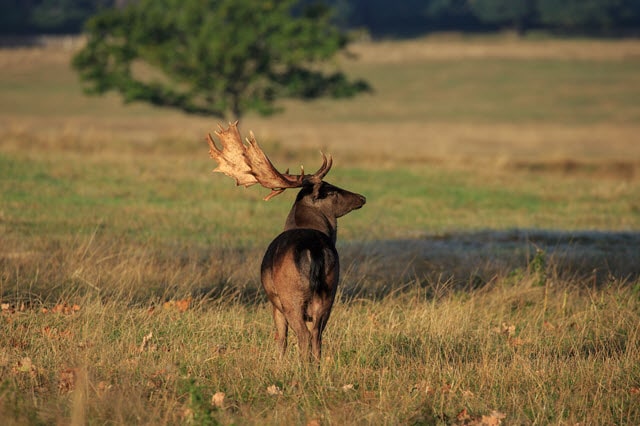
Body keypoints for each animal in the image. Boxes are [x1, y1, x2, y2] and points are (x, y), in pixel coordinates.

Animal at [205, 121, 364, 362]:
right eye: (332, 190)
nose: (362, 197)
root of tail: (313, 250)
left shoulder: (274, 302)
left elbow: (281, 337)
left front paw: (278, 363)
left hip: (291, 296)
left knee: (303, 336)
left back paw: (302, 366)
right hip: (330, 290)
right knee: (317, 335)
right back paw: (315, 366)